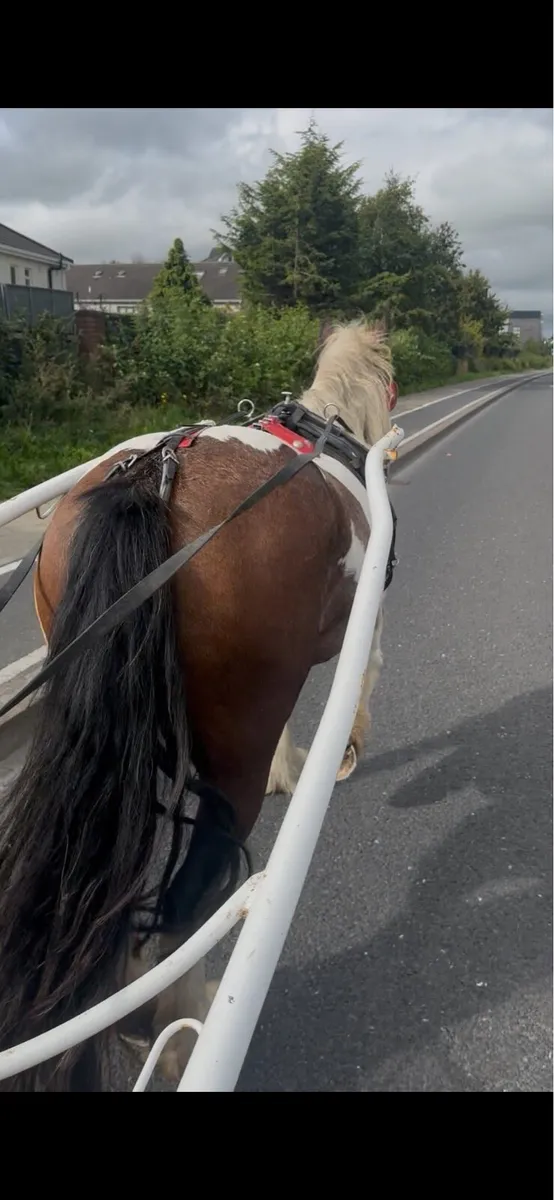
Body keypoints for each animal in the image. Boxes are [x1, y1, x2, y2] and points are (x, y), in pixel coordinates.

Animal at [0, 319, 398, 1091]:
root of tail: (151, 481)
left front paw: (291, 769)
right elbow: (364, 672)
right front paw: (343, 753)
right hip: (231, 746)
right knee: (194, 890)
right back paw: (180, 1023)